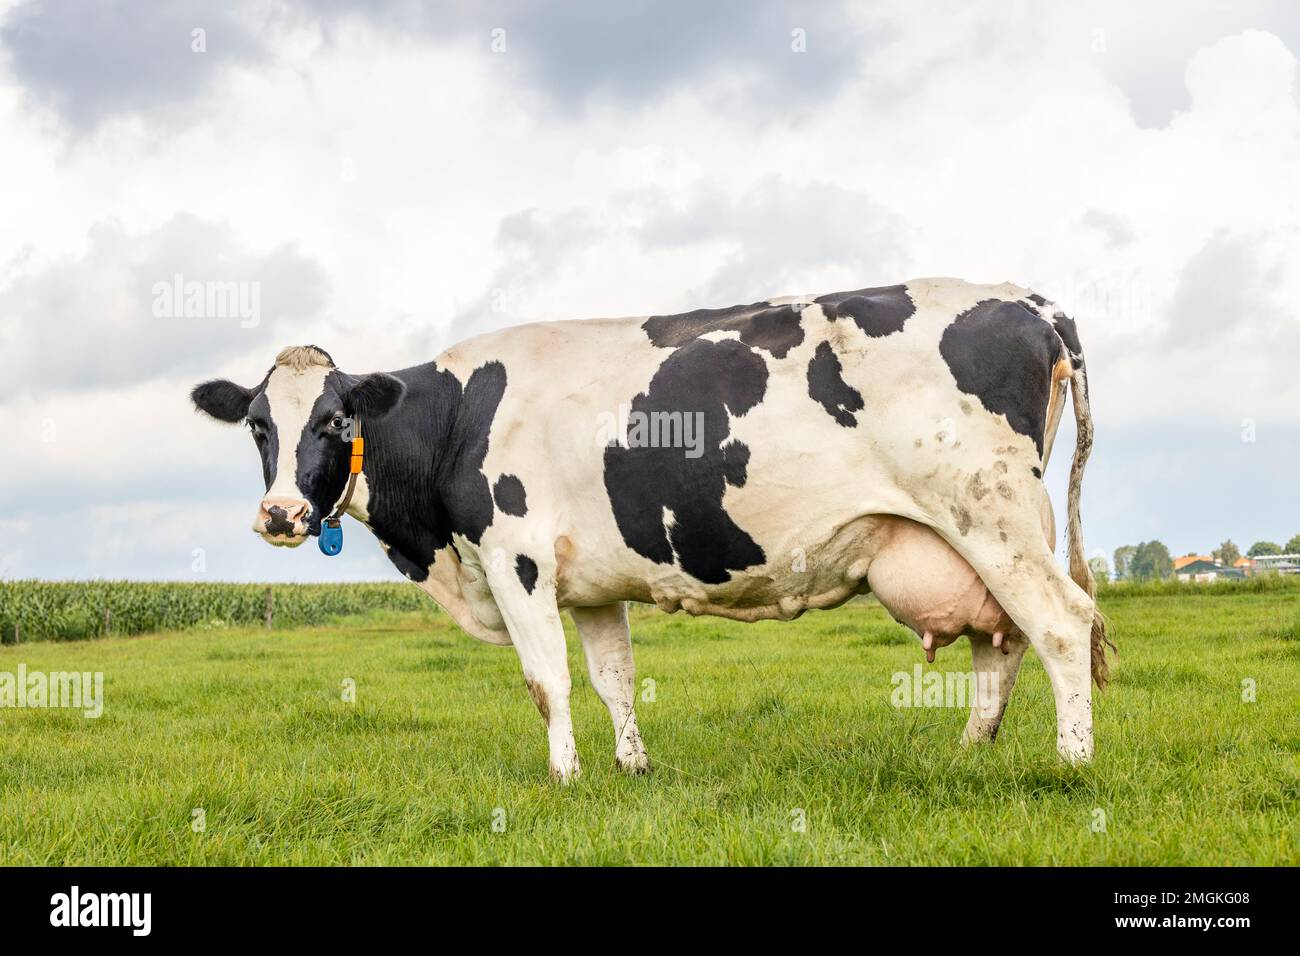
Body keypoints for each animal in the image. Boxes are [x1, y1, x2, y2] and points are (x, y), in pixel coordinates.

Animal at [197, 280, 1112, 780]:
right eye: (257, 426)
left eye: (334, 418)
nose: (280, 515)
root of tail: (1029, 301)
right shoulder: (592, 584)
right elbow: (614, 681)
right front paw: (629, 766)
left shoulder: (516, 559)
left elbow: (546, 683)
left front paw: (563, 777)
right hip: (978, 533)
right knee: (1004, 641)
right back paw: (970, 750)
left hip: (991, 515)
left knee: (1063, 624)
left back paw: (1071, 763)